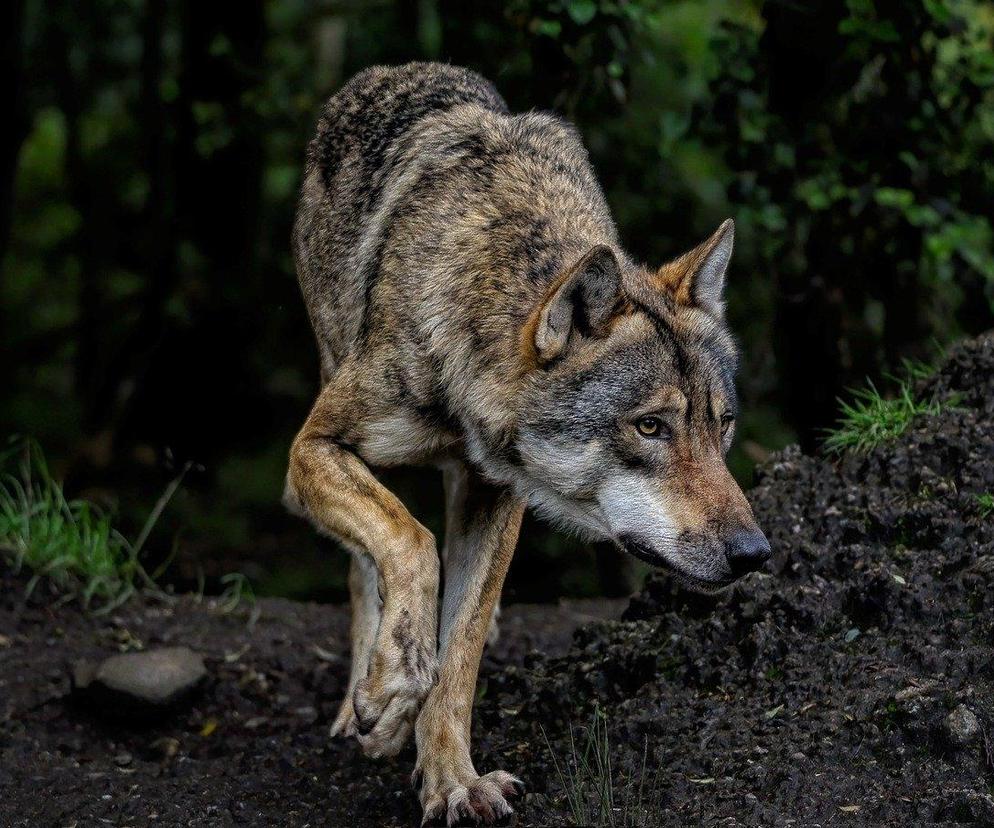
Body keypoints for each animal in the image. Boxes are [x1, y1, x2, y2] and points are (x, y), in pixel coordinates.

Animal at [282, 61, 772, 824]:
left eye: (719, 426)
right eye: (650, 427)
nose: (755, 553)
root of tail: (386, 73)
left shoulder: (497, 495)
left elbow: (460, 653)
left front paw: (452, 780)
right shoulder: (312, 448)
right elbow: (409, 542)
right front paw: (391, 688)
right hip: (331, 377)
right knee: (367, 565)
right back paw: (368, 697)